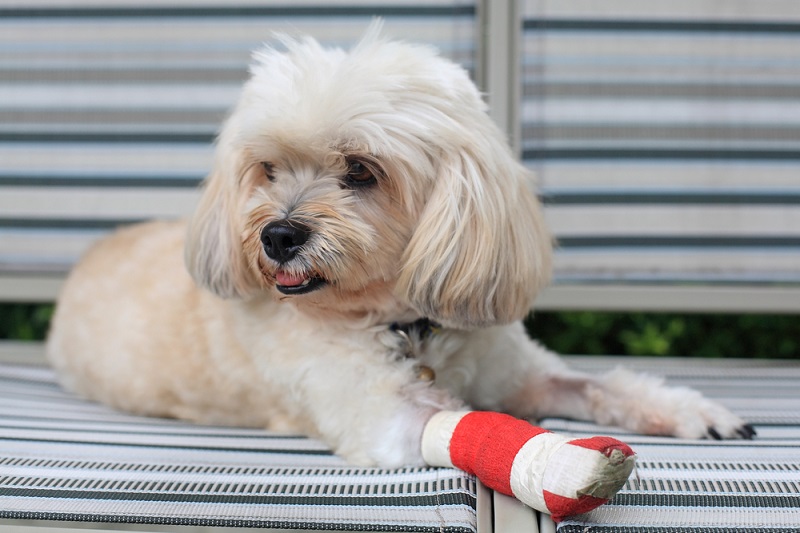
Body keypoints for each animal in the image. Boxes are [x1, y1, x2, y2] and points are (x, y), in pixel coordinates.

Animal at [47, 23, 752, 470]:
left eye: (361, 170)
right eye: (268, 170)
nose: (277, 235)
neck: (406, 324)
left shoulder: (521, 371)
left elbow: (596, 382)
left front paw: (694, 412)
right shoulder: (382, 419)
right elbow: (469, 425)